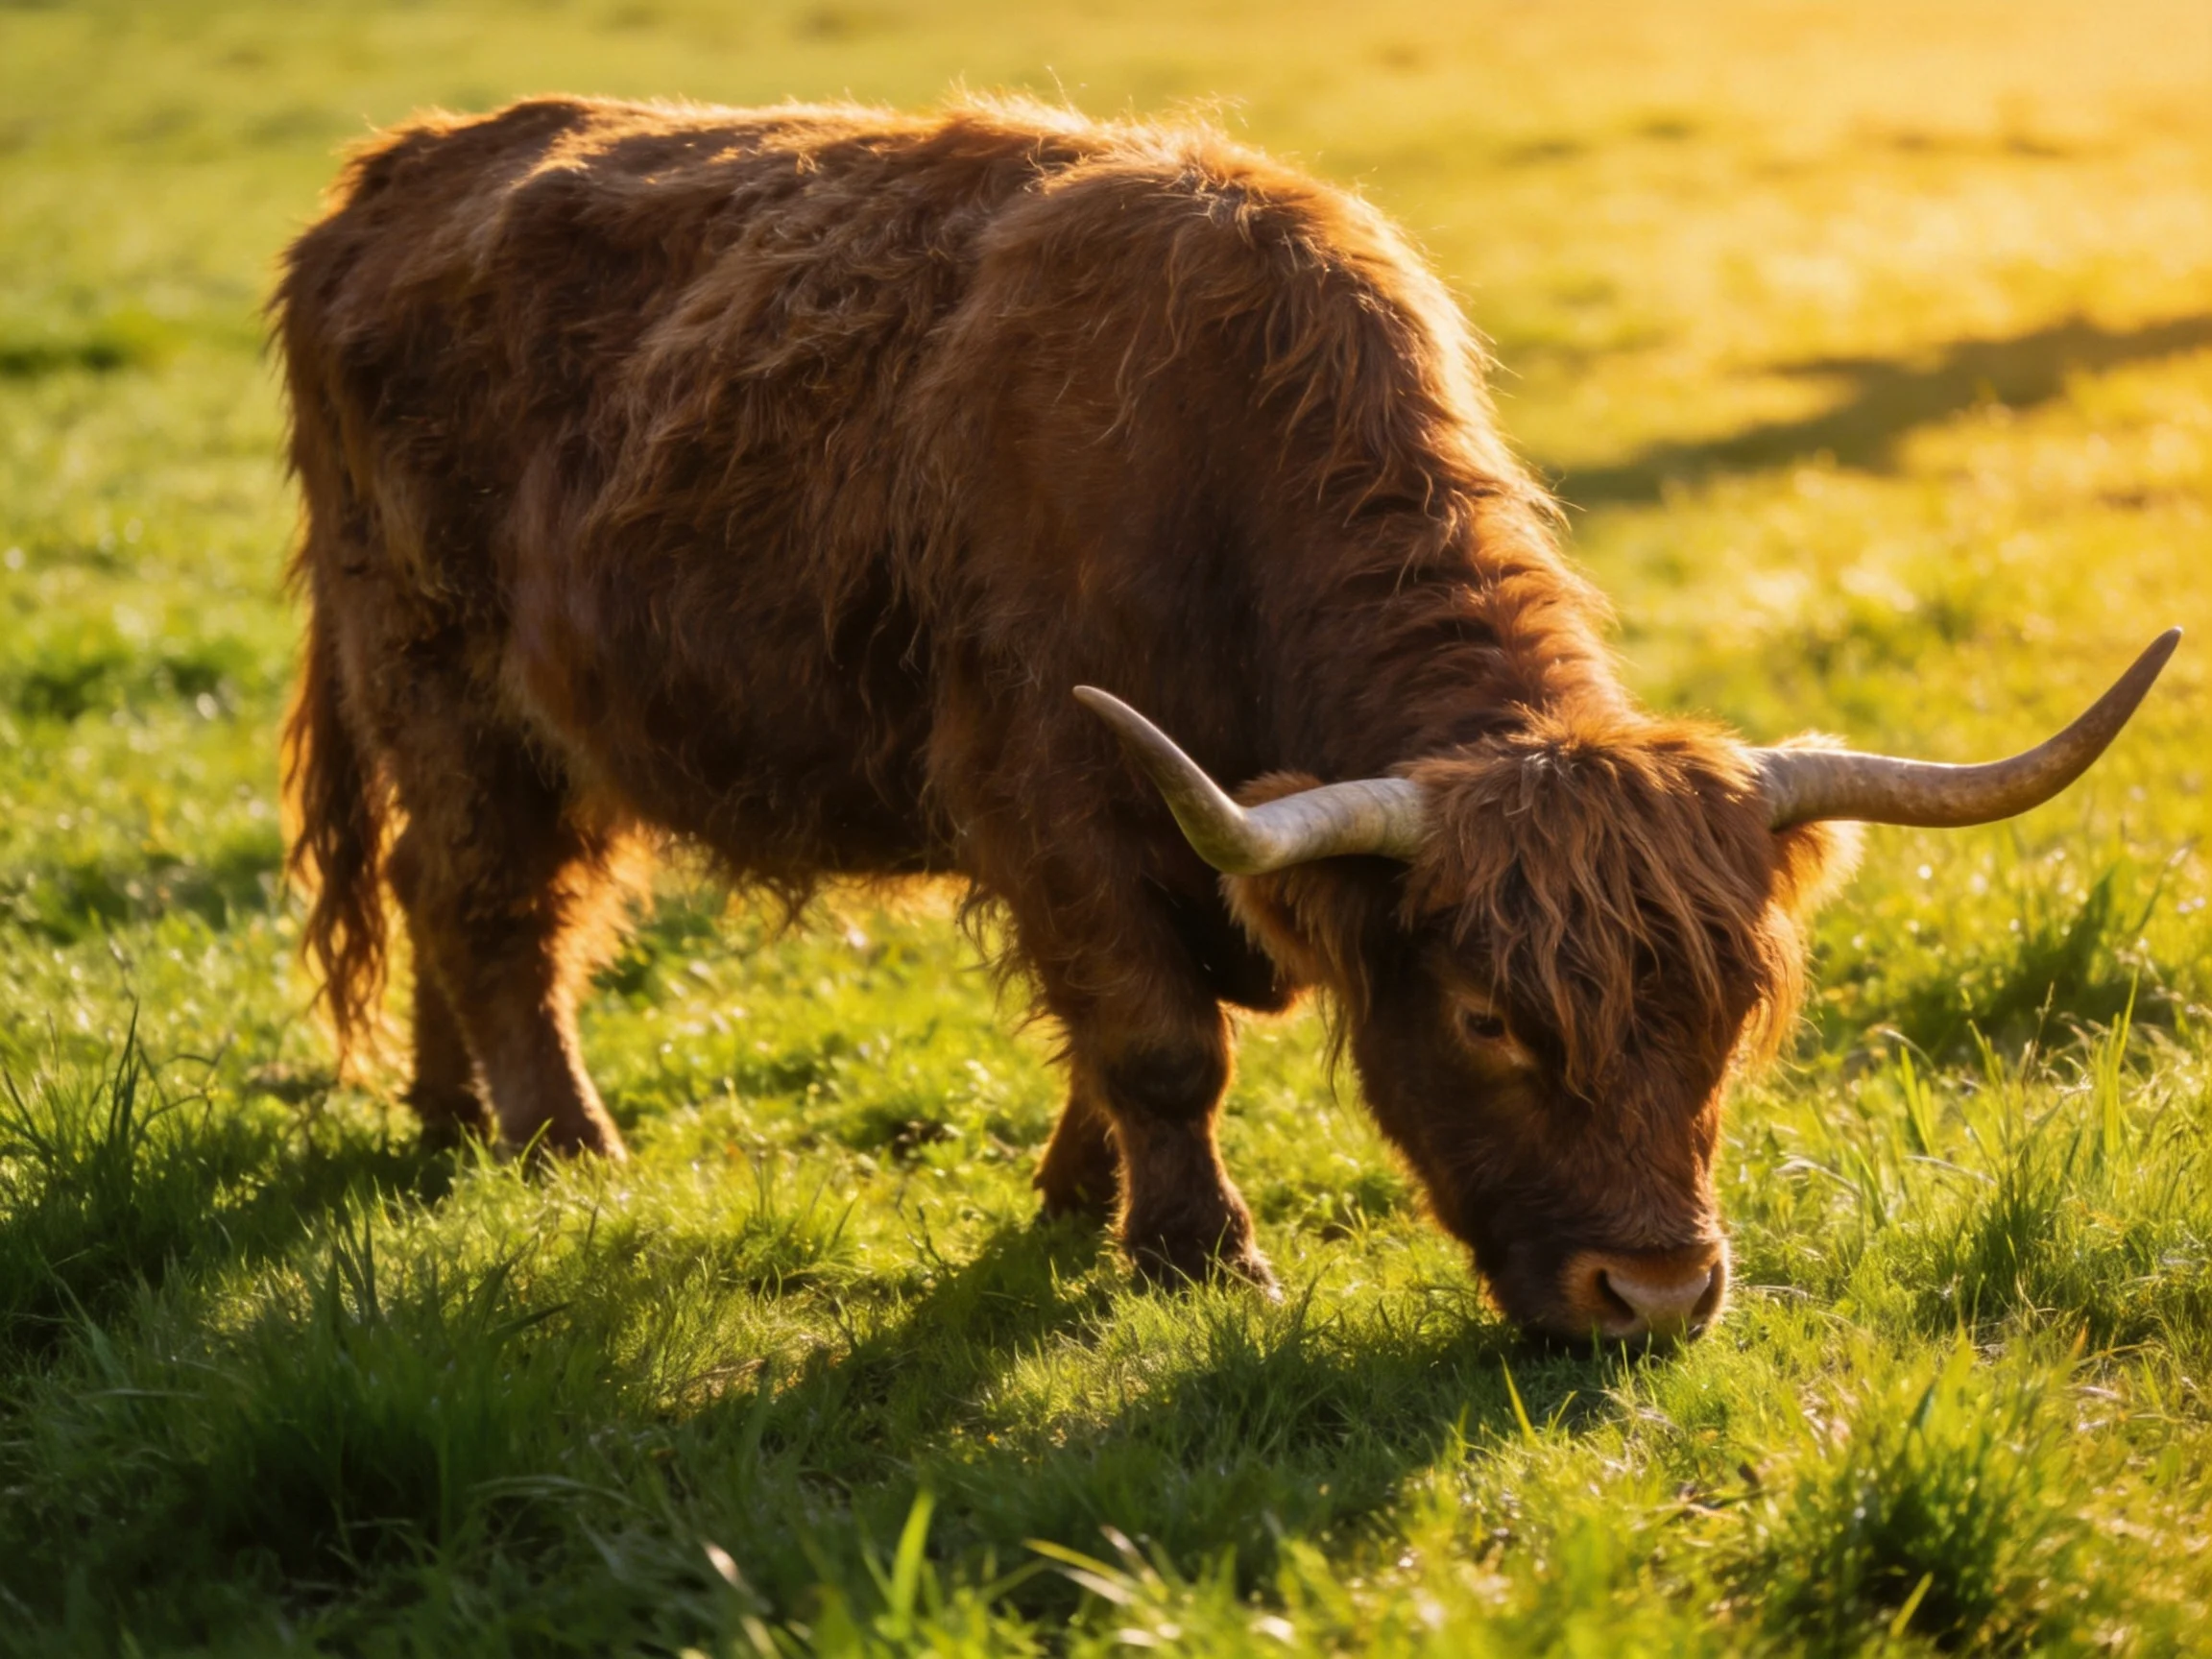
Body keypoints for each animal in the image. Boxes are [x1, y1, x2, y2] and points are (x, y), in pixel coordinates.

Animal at [276, 96, 2177, 1342]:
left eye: (1735, 1014)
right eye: (1489, 1018)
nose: (1650, 1294)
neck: (1221, 472)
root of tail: (396, 170)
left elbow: (1117, 1035)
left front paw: (1078, 1201)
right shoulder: (1044, 784)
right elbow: (1160, 1039)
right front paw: (1198, 1253)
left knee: (459, 900)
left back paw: (449, 1119)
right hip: (445, 676)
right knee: (488, 905)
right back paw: (559, 1142)